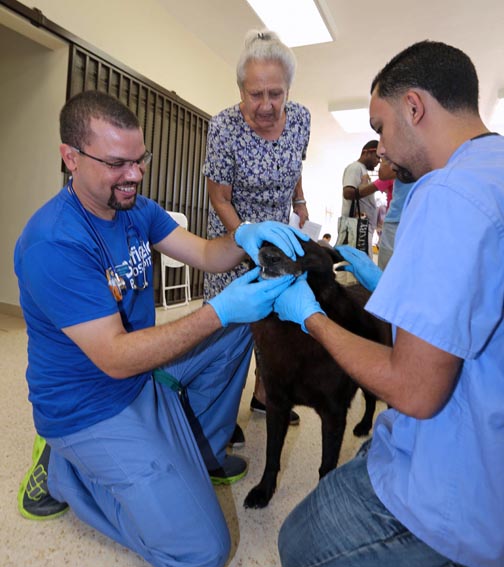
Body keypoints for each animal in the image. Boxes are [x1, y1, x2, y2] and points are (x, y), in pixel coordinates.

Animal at [243, 240, 390, 510]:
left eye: (300, 243)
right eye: (265, 242)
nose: (267, 255)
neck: (292, 327)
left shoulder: (333, 413)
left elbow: (326, 465)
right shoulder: (276, 404)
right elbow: (272, 455)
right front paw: (264, 491)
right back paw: (365, 425)